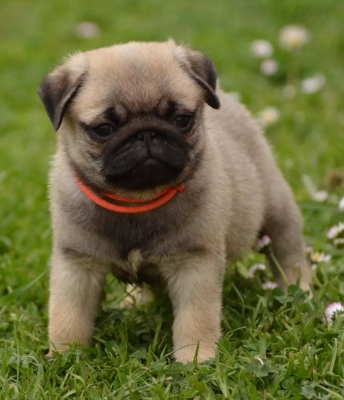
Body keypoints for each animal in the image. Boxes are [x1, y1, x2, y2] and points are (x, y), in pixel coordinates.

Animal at [38, 40, 312, 362]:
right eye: (104, 129)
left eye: (182, 120)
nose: (146, 134)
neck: (136, 200)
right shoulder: (76, 265)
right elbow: (68, 318)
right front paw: (65, 358)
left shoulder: (194, 265)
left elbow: (195, 318)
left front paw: (196, 358)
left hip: (277, 209)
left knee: (288, 253)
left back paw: (299, 291)